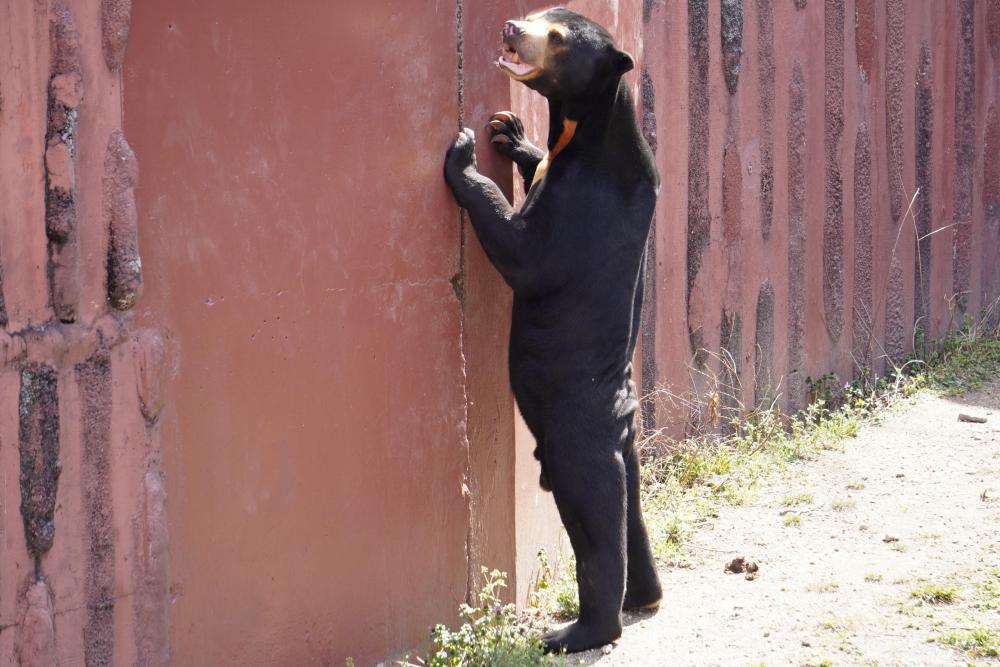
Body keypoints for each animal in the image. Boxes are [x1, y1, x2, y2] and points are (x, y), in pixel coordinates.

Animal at [446, 7, 664, 656]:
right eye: (541, 16)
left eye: (559, 37)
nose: (510, 27)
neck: (586, 133)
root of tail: (621, 415)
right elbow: (533, 162)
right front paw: (510, 133)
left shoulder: (581, 208)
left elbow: (522, 255)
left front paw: (464, 154)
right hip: (623, 448)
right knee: (630, 507)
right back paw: (645, 596)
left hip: (573, 436)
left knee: (595, 515)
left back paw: (578, 630)